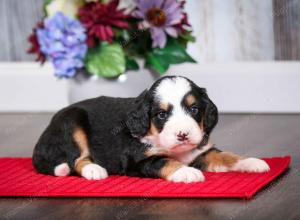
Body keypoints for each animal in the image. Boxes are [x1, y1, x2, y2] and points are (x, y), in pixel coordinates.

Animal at [32, 76, 270, 183]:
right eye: (162, 115)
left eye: (194, 109)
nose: (183, 134)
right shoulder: (138, 161)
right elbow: (164, 161)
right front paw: (185, 171)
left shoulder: (200, 152)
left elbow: (226, 156)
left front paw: (251, 162)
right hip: (72, 123)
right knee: (76, 159)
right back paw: (94, 170)